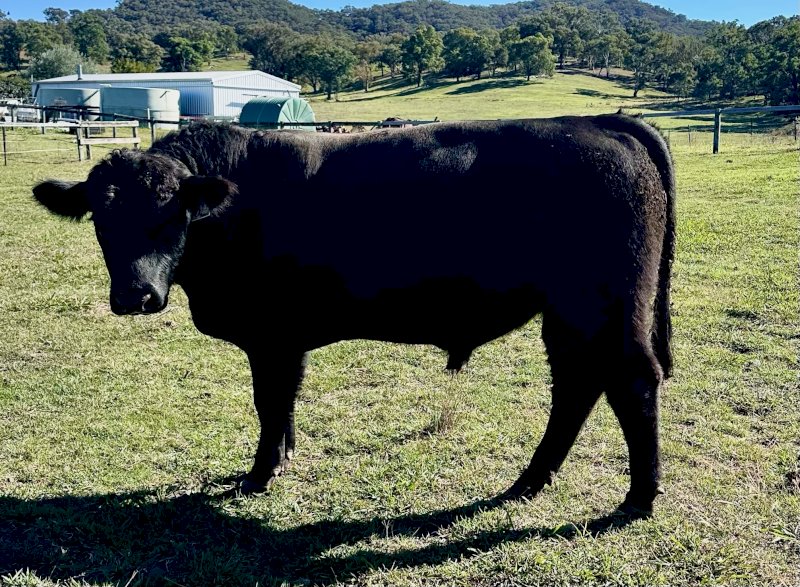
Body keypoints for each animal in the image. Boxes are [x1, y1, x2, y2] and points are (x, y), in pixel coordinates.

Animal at [33, 115, 675, 515]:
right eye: (100, 220)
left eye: (172, 216)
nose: (136, 296)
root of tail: (601, 122)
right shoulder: (283, 341)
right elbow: (283, 402)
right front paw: (284, 456)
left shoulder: (272, 335)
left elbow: (270, 401)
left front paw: (259, 474)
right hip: (571, 314)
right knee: (577, 387)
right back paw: (529, 483)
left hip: (605, 307)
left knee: (631, 383)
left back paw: (637, 498)